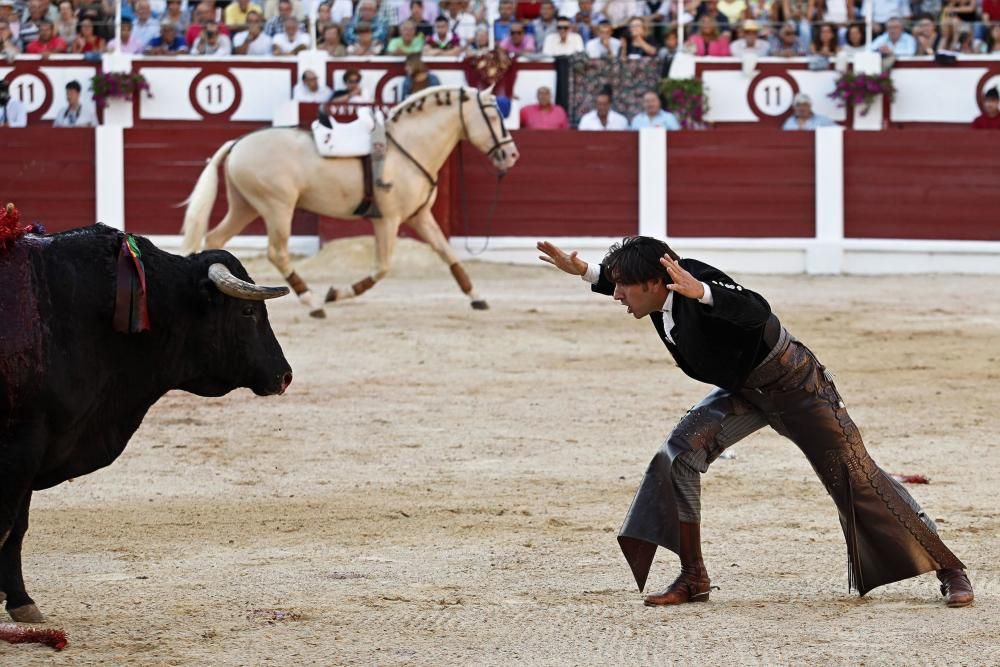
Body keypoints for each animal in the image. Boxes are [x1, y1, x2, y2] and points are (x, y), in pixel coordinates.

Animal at [0, 227, 292, 624]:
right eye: (248, 311)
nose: (285, 375)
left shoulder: (42, 443)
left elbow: (17, 525)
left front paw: (18, 600)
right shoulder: (24, 443)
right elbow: (8, 525)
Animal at [181, 86, 520, 318]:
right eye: (492, 116)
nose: (511, 154)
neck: (408, 146)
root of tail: (238, 142)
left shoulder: (421, 216)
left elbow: (449, 254)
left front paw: (476, 296)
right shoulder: (388, 219)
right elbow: (382, 268)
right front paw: (336, 293)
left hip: (245, 205)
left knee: (216, 238)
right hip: (277, 208)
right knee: (277, 252)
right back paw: (313, 301)